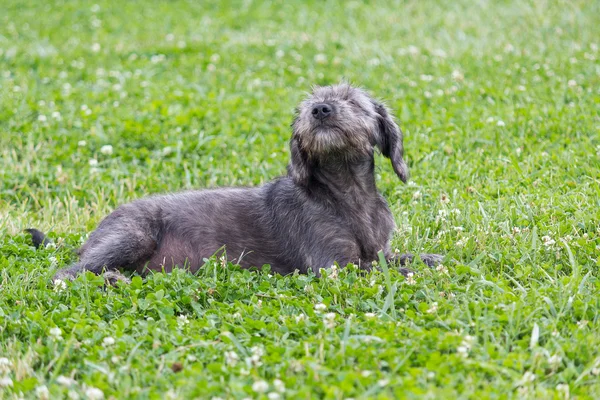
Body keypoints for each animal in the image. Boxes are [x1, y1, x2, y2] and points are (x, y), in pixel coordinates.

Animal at [32, 83, 442, 284]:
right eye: (308, 105)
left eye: (353, 102)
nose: (320, 110)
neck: (346, 194)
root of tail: (93, 233)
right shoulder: (333, 265)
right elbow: (381, 269)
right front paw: (415, 271)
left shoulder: (377, 250)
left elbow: (395, 257)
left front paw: (425, 258)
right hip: (132, 235)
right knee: (64, 274)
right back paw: (109, 281)